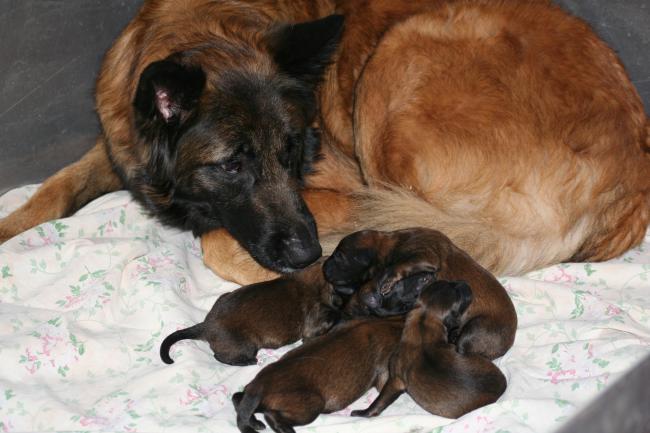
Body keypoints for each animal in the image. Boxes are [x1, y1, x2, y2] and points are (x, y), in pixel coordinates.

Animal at [1, 0, 648, 284]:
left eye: (293, 150)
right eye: (231, 166)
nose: (310, 251)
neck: (213, 31)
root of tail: (631, 184)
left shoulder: (341, 192)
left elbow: (217, 243)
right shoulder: (121, 146)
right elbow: (52, 191)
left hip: (398, 62)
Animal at [230, 314, 402, 432]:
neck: (395, 322)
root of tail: (259, 385)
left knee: (238, 399)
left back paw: (254, 422)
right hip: (313, 404)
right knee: (270, 415)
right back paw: (285, 429)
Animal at [324, 228, 516, 360]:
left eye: (339, 256)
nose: (323, 267)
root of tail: (507, 345)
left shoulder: (423, 254)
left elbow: (398, 267)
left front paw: (387, 282)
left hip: (477, 327)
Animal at [350, 280, 506, 418]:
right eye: (450, 284)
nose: (465, 283)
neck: (423, 322)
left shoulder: (395, 380)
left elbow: (379, 402)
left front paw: (363, 412)